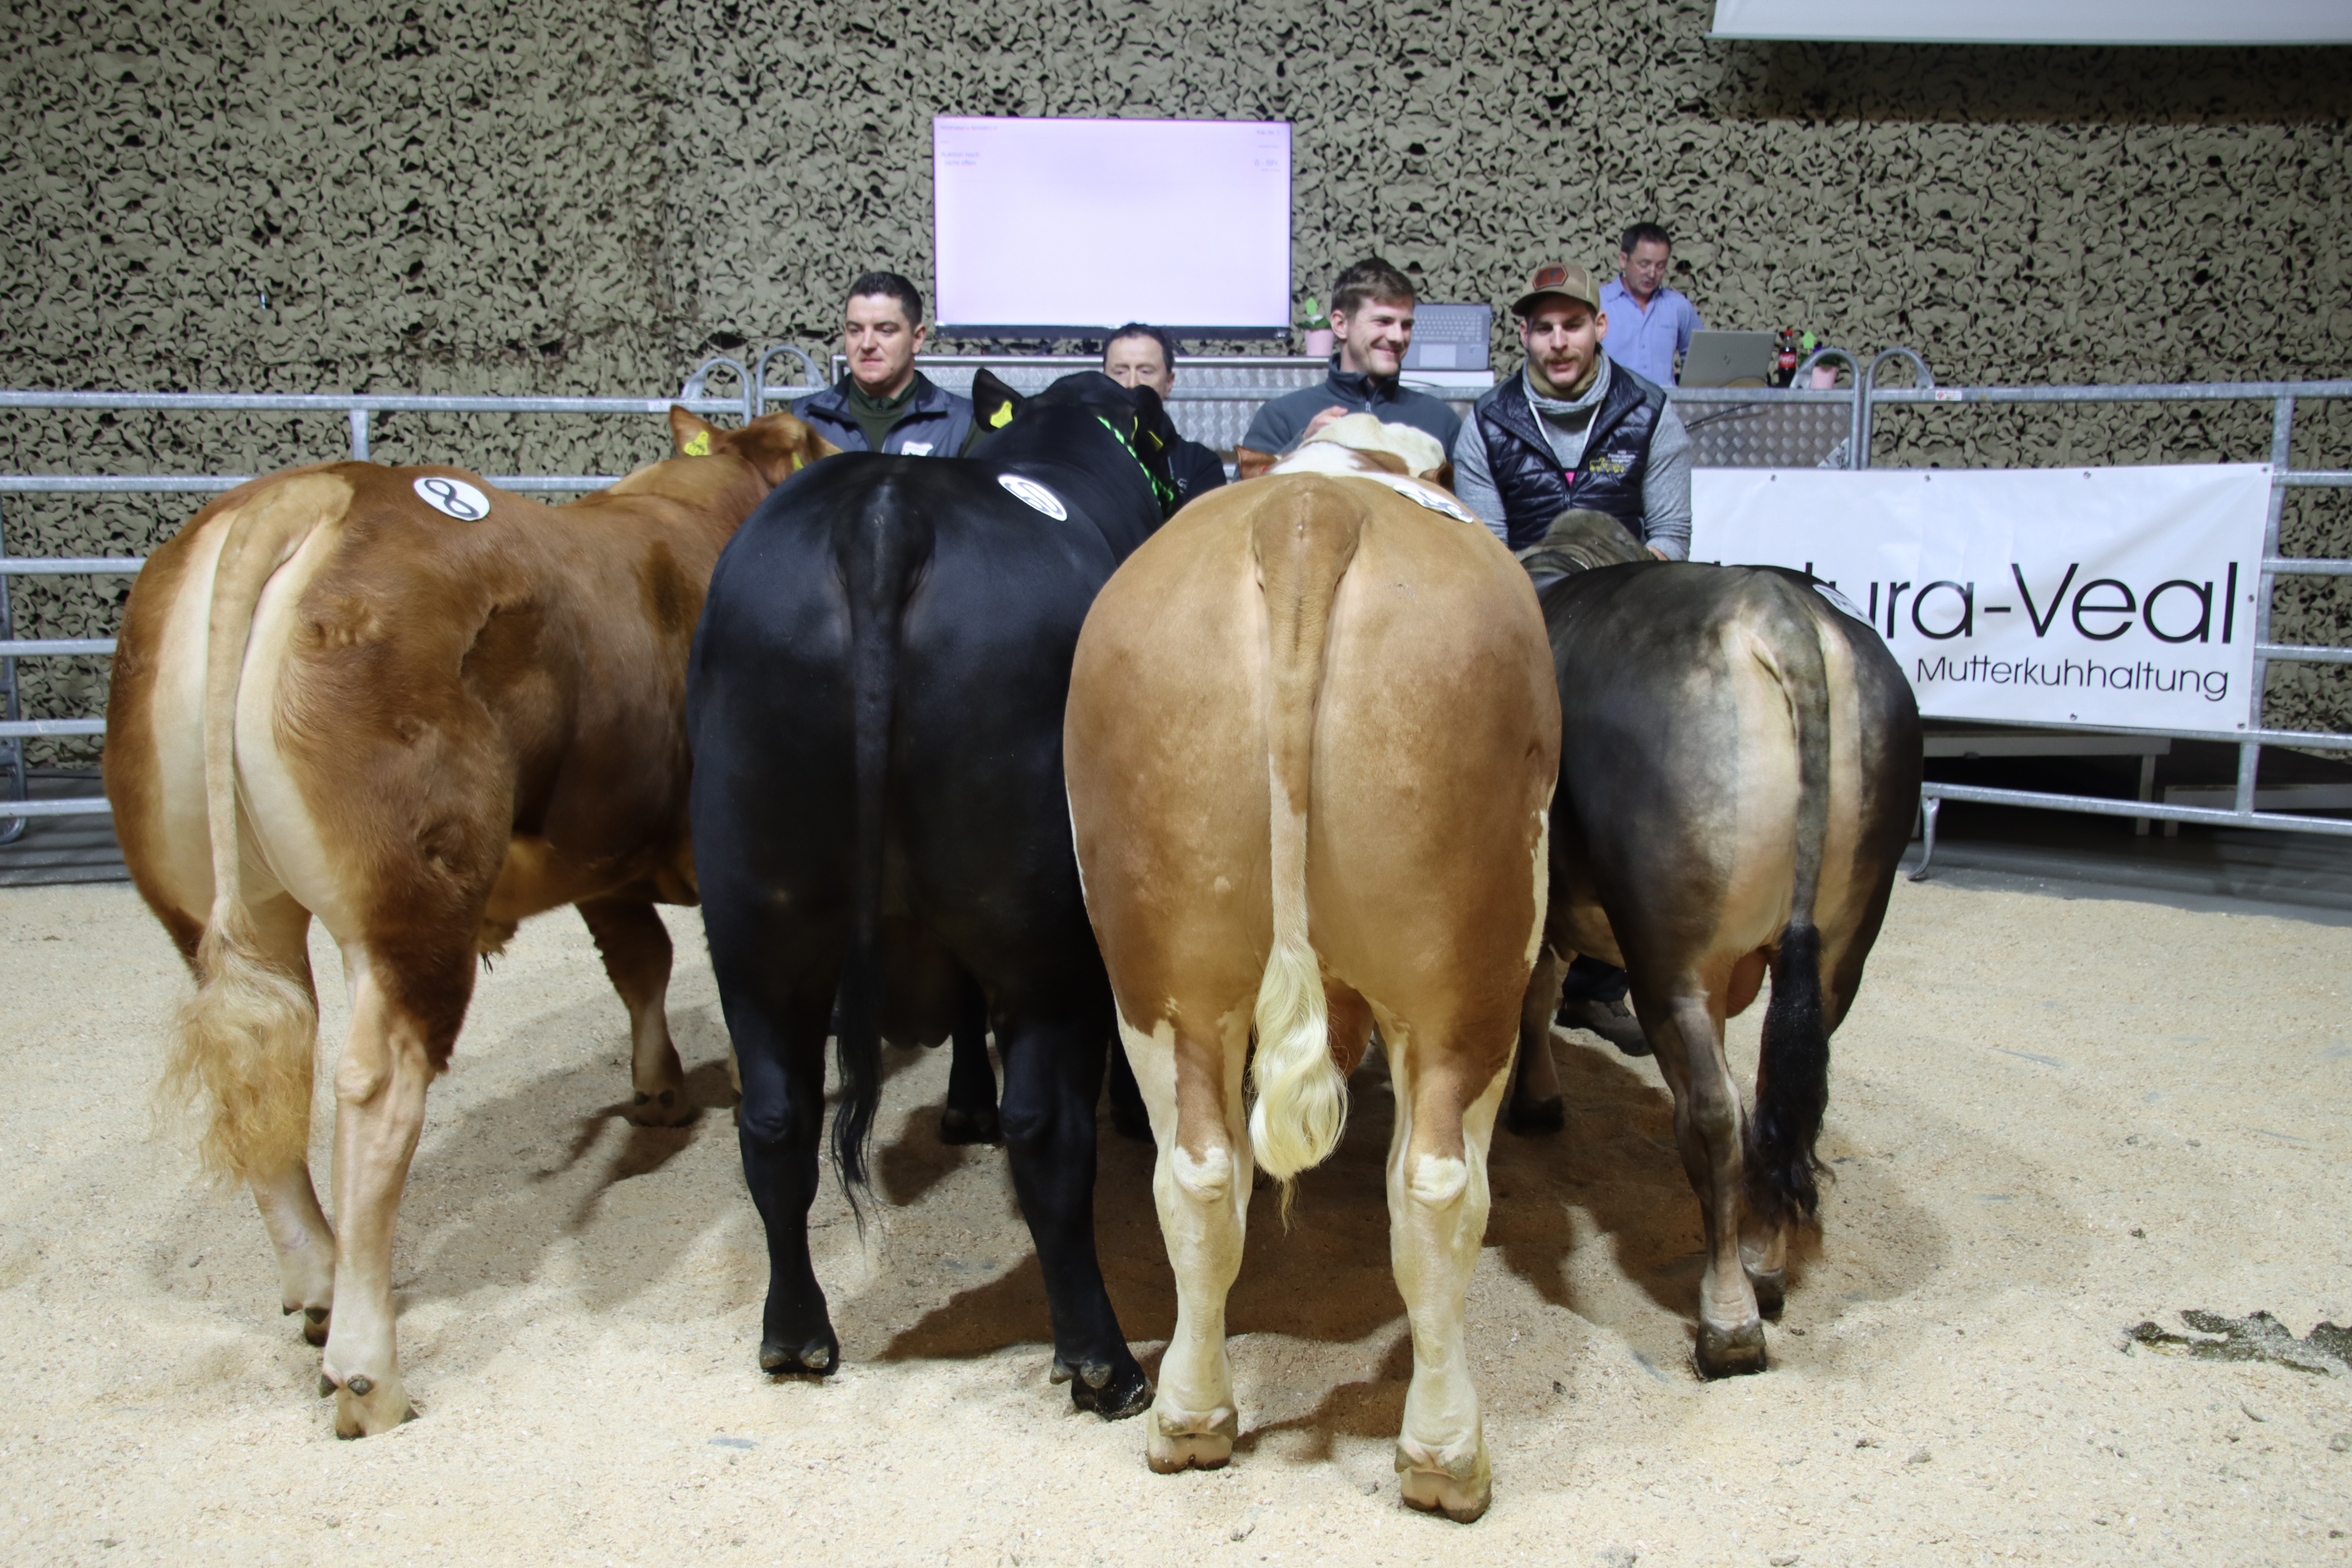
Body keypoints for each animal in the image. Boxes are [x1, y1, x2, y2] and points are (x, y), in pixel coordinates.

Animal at [104, 407, 833, 1436]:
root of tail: (313, 491)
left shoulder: (597, 848)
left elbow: (639, 963)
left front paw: (657, 1088)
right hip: (410, 903)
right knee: (373, 1091)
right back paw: (367, 1369)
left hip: (219, 905)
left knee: (263, 1068)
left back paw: (317, 1284)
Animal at [685, 369, 1179, 1418]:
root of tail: (884, 512)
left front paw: (961, 1109)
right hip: (1039, 923)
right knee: (1047, 1130)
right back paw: (1103, 1362)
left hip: (753, 917)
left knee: (775, 1121)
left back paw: (795, 1336)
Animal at [1062, 423, 1561, 1522]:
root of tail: (1310, 511)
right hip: (1470, 977)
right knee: (1435, 1187)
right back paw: (1446, 1456)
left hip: (1162, 970)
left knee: (1201, 1175)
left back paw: (1190, 1418)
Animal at [1507, 509, 1921, 1378]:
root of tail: (1783, 614)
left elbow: (1535, 990)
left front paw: (1534, 1101)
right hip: (1841, 948)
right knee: (1776, 1104)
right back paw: (1765, 1264)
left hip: (1672, 956)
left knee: (1712, 1118)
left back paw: (1728, 1318)